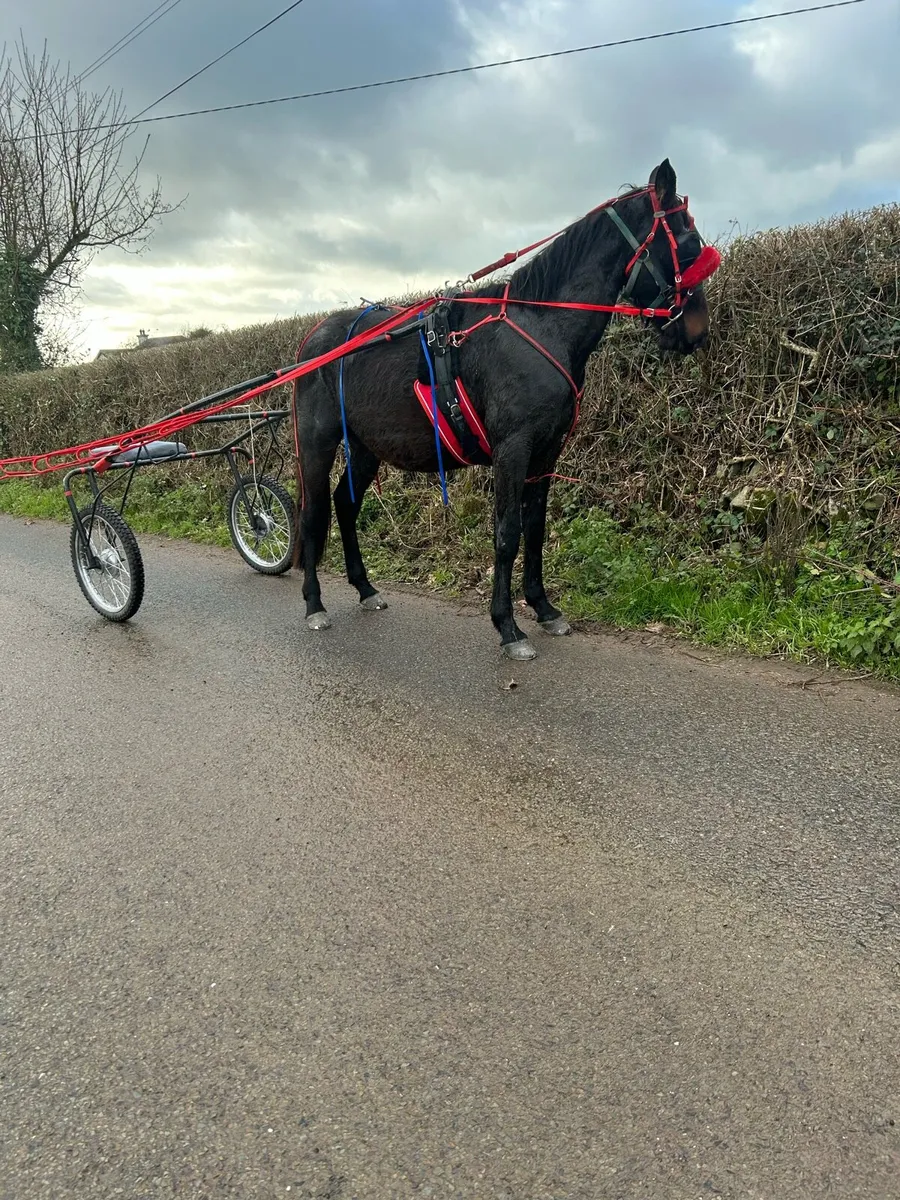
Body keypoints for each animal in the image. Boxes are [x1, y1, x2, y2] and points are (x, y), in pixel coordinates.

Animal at [293, 159, 717, 660]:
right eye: (688, 240)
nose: (698, 330)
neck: (538, 325)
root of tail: (314, 340)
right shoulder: (512, 449)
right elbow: (508, 532)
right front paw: (508, 625)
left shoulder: (546, 452)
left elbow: (535, 528)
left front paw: (544, 608)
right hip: (317, 443)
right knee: (313, 513)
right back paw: (314, 603)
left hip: (364, 447)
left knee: (344, 504)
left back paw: (364, 587)